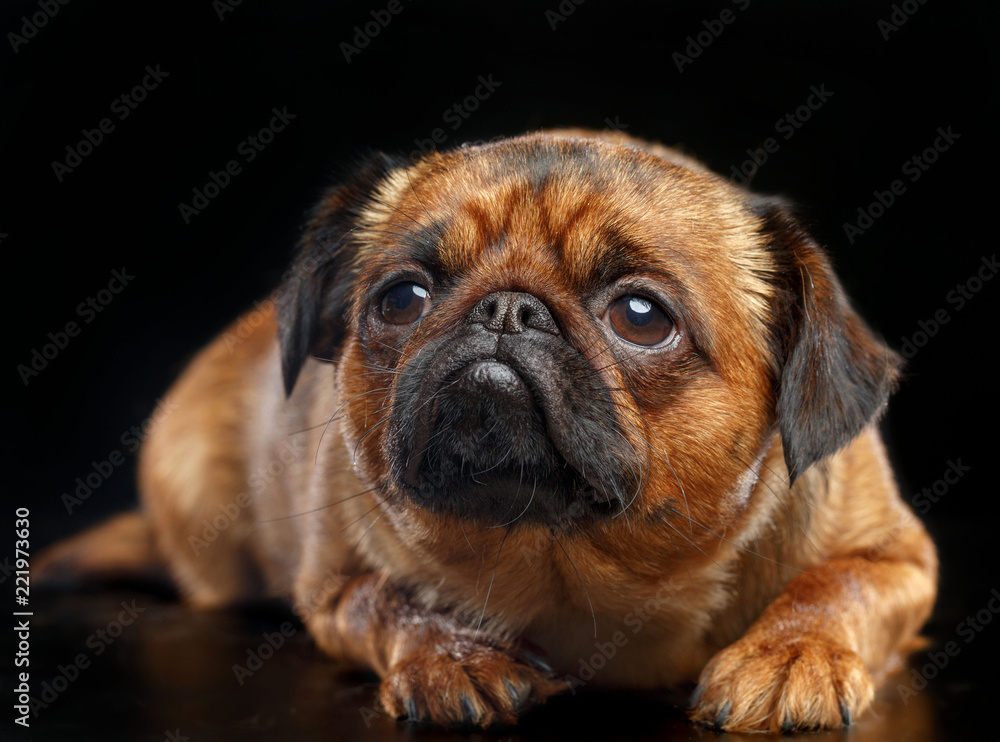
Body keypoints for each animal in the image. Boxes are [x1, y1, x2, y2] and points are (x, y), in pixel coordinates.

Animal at [33, 129, 936, 732]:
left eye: (642, 316)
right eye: (401, 298)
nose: (507, 308)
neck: (572, 564)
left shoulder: (902, 562)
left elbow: (837, 584)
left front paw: (791, 652)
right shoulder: (332, 587)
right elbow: (386, 602)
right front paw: (452, 654)